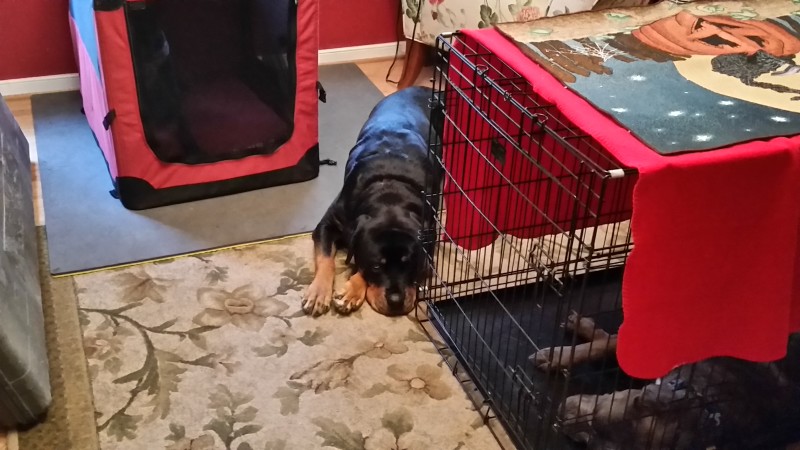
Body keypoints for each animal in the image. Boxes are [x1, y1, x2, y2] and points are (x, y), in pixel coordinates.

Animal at [303, 86, 440, 317]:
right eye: (377, 266)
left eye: (412, 265)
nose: (396, 301)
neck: (390, 192)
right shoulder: (328, 223)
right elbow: (326, 259)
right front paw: (318, 292)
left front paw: (351, 291)